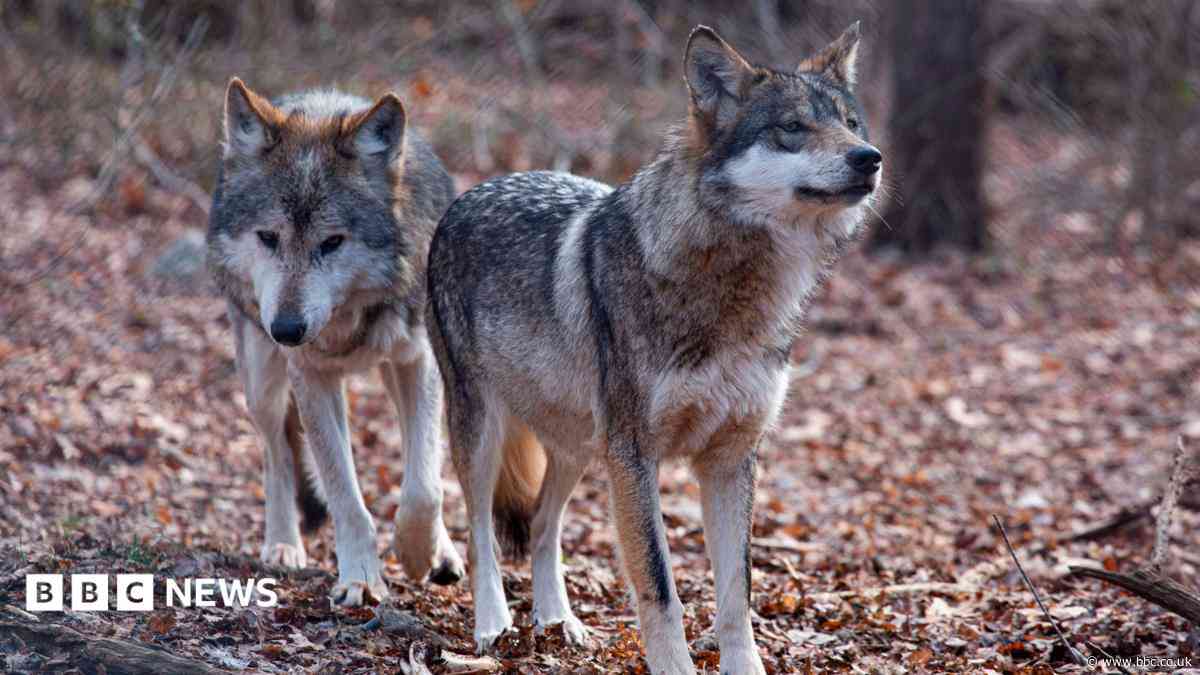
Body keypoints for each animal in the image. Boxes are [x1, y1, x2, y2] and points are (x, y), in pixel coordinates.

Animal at [206, 78, 465, 607]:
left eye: (332, 242)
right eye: (268, 237)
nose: (286, 330)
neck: (349, 320)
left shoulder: (420, 361)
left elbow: (424, 486)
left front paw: (416, 553)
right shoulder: (312, 376)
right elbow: (344, 493)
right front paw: (362, 577)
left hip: (395, 372)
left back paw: (442, 552)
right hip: (262, 382)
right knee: (278, 456)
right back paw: (283, 544)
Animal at [426, 24, 880, 674]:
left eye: (851, 123)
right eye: (792, 127)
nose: (870, 158)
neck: (733, 292)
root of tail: (473, 190)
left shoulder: (731, 458)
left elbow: (738, 594)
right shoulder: (636, 456)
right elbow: (661, 588)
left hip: (580, 447)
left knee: (541, 525)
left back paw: (557, 622)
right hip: (486, 433)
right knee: (480, 531)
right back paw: (494, 626)